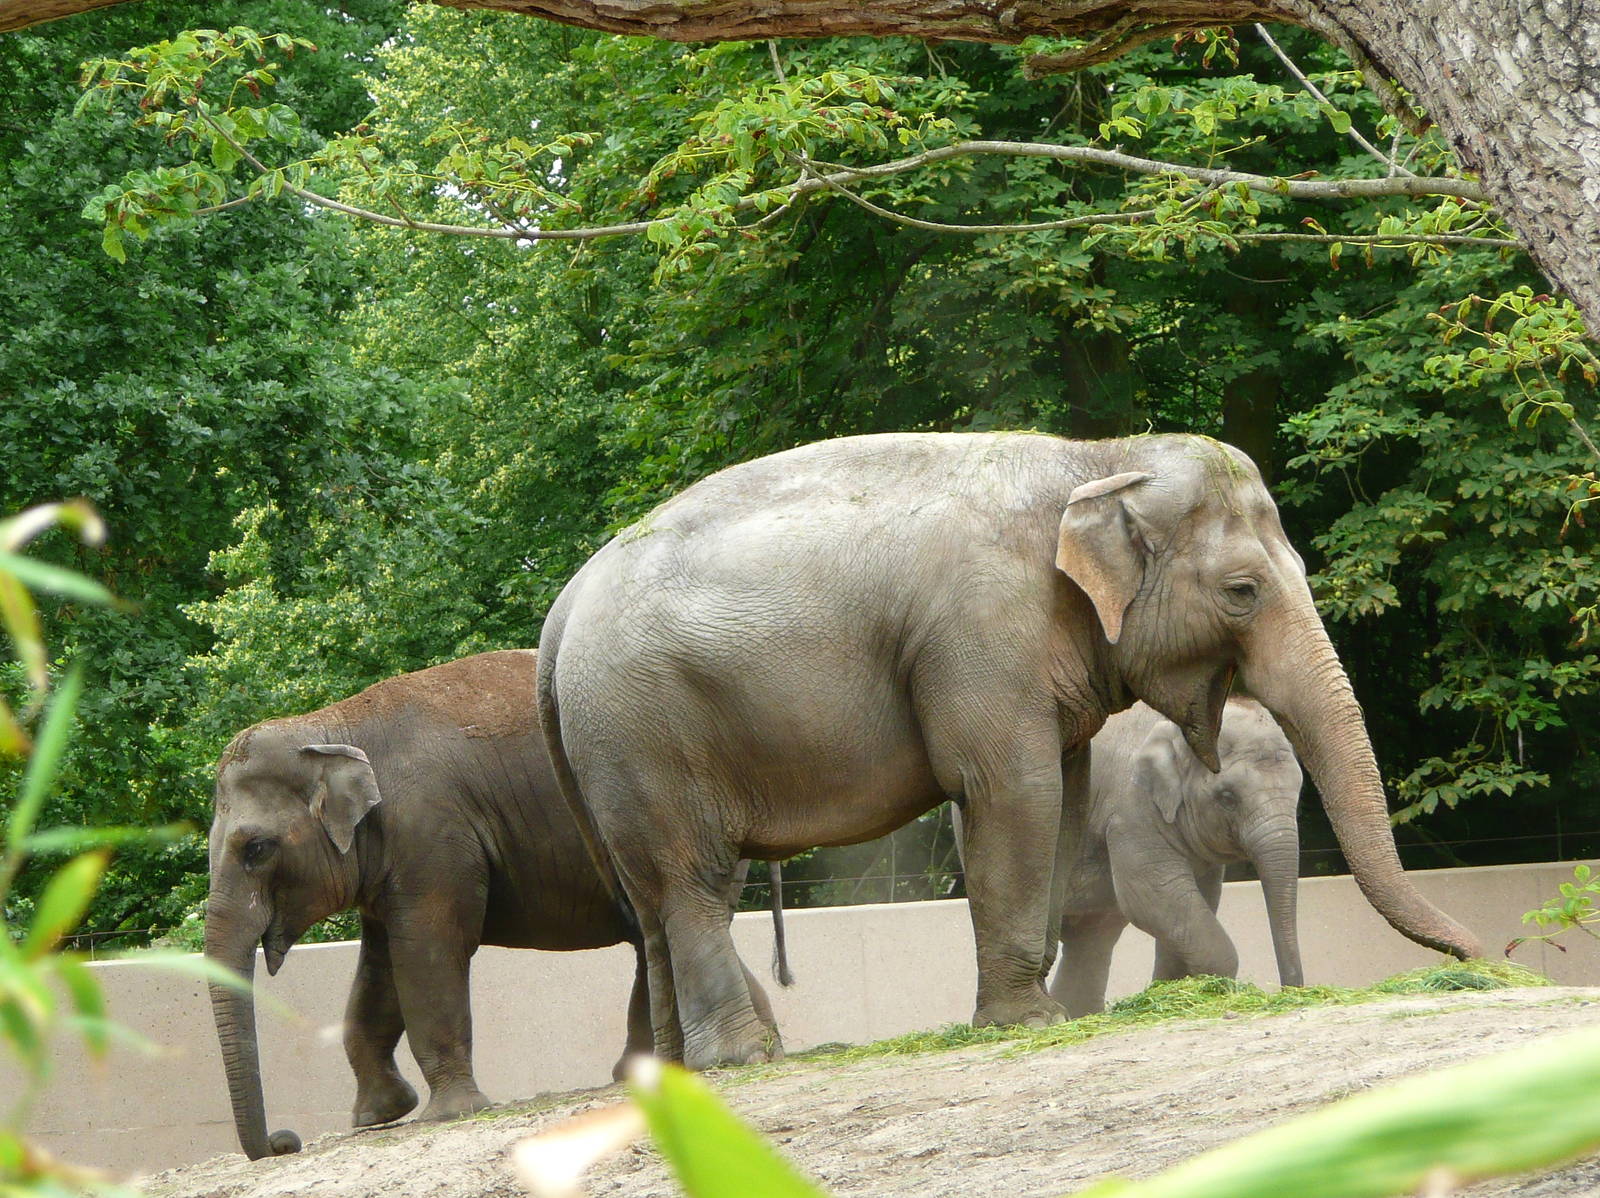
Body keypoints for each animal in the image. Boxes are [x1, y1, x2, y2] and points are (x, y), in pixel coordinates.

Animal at [204, 649, 777, 1161]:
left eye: (256, 849)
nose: (286, 1141)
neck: (328, 725)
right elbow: (380, 971)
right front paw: (379, 1114)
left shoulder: (434, 833)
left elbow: (429, 952)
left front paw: (450, 1112)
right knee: (658, 929)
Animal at [1049, 697, 1304, 1017]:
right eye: (1227, 798)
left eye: (1300, 788)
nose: (1291, 991)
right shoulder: (1132, 811)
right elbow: (1153, 896)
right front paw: (1210, 987)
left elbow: (1196, 899)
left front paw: (1173, 986)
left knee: (1092, 936)